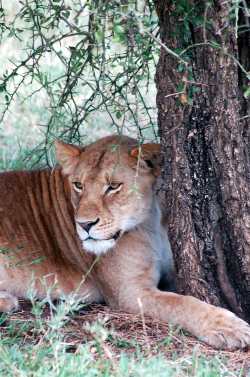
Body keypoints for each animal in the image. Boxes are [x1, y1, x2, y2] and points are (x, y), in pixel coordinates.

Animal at [0, 134, 250, 348]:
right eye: (78, 185)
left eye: (113, 186)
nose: (84, 225)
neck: (151, 221)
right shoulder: (129, 292)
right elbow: (181, 303)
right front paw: (228, 327)